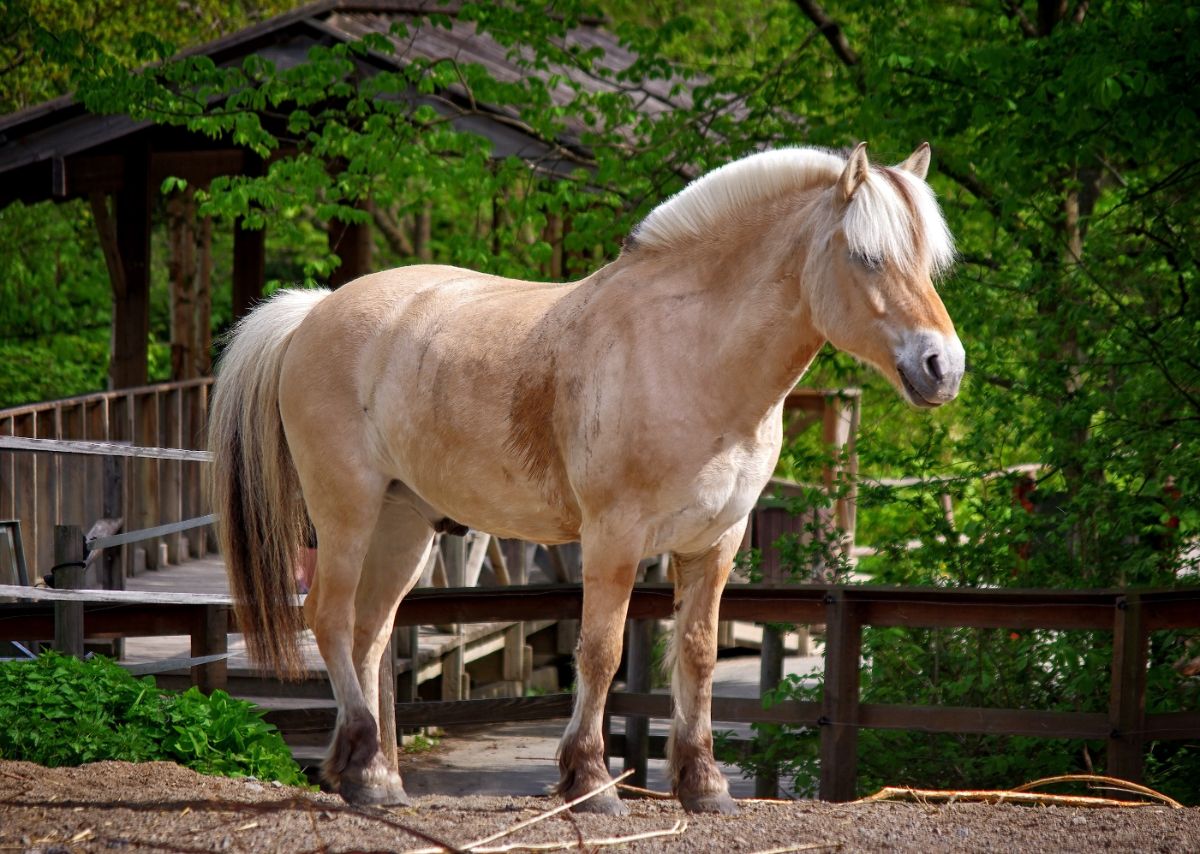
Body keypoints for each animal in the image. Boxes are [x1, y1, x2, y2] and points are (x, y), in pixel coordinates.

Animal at [208, 143, 964, 815]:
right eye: (867, 257)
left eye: (929, 262)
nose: (943, 366)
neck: (689, 354)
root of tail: (315, 311)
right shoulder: (613, 539)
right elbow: (600, 652)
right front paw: (591, 783)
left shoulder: (715, 543)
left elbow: (695, 655)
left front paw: (704, 786)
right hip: (347, 512)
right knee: (330, 618)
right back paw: (363, 760)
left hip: (404, 524)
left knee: (368, 633)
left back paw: (374, 779)